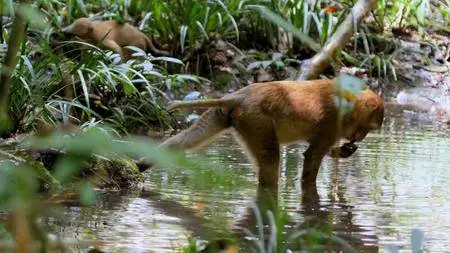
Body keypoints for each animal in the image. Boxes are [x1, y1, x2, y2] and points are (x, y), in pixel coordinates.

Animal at [140, 79, 384, 186]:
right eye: (368, 128)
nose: (360, 137)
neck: (351, 102)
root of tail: (239, 96)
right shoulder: (332, 122)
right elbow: (312, 156)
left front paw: (343, 151)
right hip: (256, 119)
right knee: (271, 161)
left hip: (229, 115)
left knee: (190, 137)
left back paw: (141, 164)